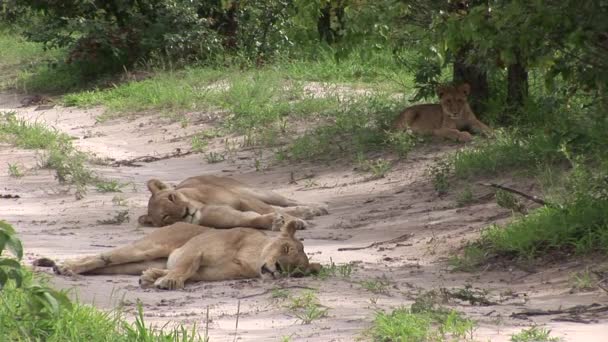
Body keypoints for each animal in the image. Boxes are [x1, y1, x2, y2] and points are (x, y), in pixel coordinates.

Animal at [51, 216, 324, 288]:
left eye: (295, 270)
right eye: (285, 248)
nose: (278, 269)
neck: (250, 259)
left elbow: (187, 272)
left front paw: (156, 277)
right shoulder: (196, 248)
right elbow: (186, 266)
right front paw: (169, 282)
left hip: (135, 263)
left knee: (110, 266)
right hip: (149, 247)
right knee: (104, 257)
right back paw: (65, 266)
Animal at [138, 176, 328, 230]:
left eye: (171, 197)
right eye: (165, 217)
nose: (185, 212)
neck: (201, 207)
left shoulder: (241, 199)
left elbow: (267, 209)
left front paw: (293, 222)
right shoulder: (232, 217)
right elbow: (252, 219)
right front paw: (274, 221)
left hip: (253, 191)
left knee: (287, 201)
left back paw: (317, 208)